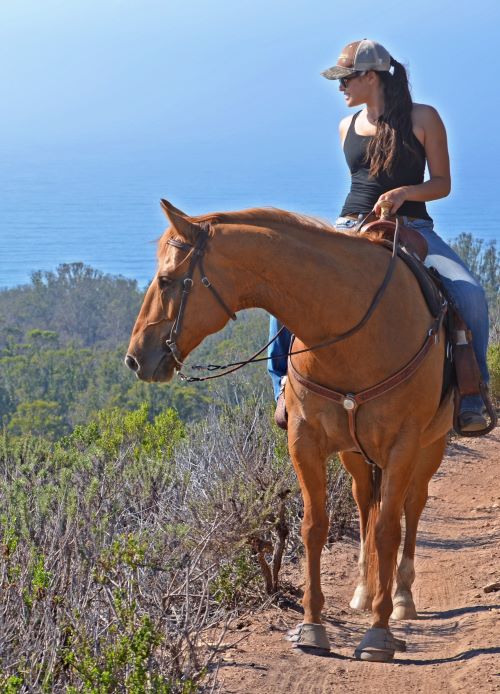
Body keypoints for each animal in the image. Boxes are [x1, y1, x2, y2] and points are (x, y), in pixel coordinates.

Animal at [125, 199, 454, 662]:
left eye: (167, 280)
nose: (135, 358)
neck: (352, 326)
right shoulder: (304, 440)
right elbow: (314, 527)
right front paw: (313, 626)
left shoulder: (402, 446)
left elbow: (389, 529)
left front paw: (378, 632)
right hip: (355, 454)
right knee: (364, 503)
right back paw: (364, 589)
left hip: (430, 447)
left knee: (412, 505)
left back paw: (401, 596)